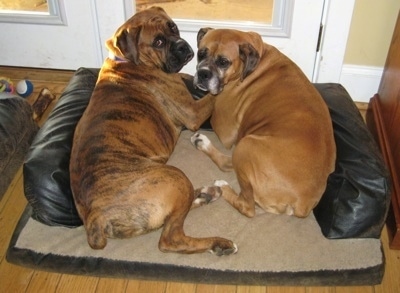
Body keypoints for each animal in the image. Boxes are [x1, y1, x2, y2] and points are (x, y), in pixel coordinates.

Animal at [69, 8, 238, 256]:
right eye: (158, 42)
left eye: (173, 27)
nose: (182, 46)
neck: (128, 61)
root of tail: (95, 216)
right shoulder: (194, 112)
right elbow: (214, 94)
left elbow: (192, 79)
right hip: (174, 177)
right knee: (171, 238)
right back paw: (220, 243)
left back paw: (207, 194)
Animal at [192, 28, 336, 218]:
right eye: (201, 53)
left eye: (223, 62)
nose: (203, 73)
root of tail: (303, 203)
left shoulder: (225, 130)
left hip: (245, 145)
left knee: (245, 202)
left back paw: (219, 178)